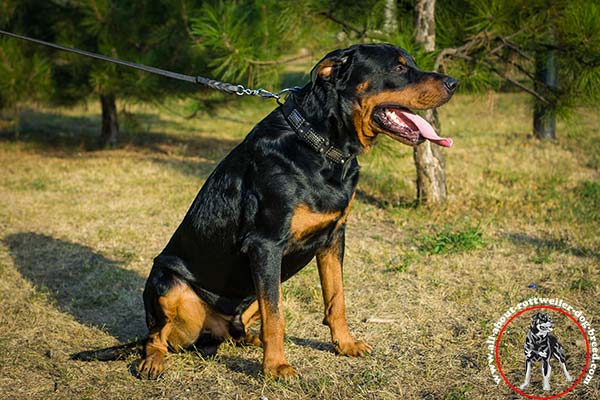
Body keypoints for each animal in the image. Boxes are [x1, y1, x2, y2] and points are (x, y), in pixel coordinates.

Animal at [72, 43, 458, 378]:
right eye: (398, 68)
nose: (454, 82)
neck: (321, 146)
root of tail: (217, 329)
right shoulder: (266, 245)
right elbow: (277, 317)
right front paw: (275, 367)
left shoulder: (334, 238)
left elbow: (336, 300)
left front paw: (345, 345)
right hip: (167, 281)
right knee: (156, 337)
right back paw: (154, 361)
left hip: (263, 285)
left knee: (240, 328)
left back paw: (249, 340)